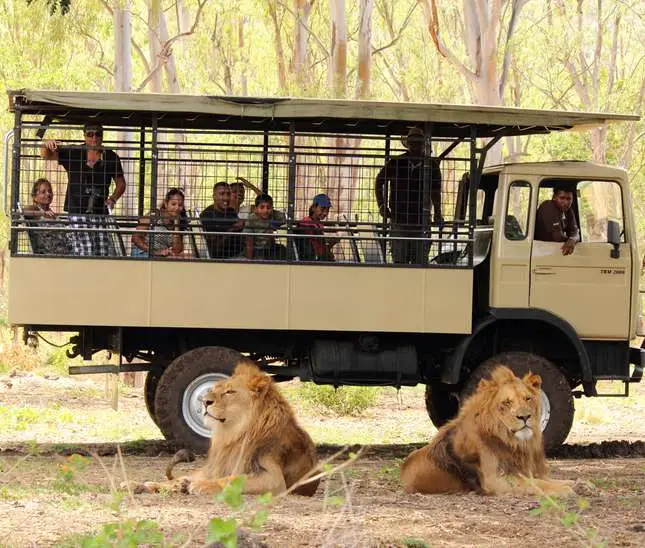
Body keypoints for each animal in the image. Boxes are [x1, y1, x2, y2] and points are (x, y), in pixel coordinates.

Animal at [123, 360, 319, 497]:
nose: (204, 401)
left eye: (230, 392)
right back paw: (137, 484)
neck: (233, 433)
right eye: (215, 388)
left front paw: (203, 486)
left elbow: (232, 479)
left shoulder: (274, 479)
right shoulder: (218, 467)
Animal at [400, 365, 574, 496]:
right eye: (507, 402)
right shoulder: (494, 480)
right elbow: (534, 484)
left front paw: (572, 482)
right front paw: (562, 489)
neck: (511, 440)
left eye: (527, 398)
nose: (525, 417)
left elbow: (544, 478)